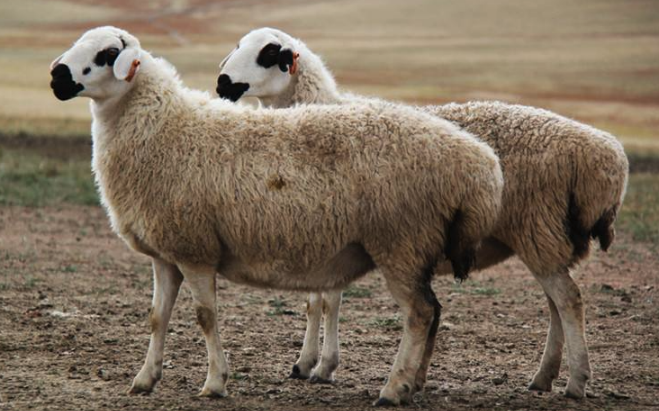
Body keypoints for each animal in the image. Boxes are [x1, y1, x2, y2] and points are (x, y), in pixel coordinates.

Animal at [51, 26, 506, 408]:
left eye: (108, 54)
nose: (56, 75)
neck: (164, 128)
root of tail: (480, 164)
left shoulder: (196, 249)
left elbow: (205, 317)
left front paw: (215, 382)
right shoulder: (166, 254)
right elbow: (156, 318)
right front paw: (145, 379)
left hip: (401, 242)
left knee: (420, 314)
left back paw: (393, 389)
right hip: (412, 246)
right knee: (432, 312)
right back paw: (412, 384)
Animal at [217, 26, 628, 400]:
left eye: (270, 53)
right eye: (237, 44)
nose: (222, 83)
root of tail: (607, 158)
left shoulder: (334, 227)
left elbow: (328, 301)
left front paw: (322, 366)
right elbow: (313, 301)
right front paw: (307, 363)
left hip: (536, 229)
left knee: (568, 300)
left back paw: (575, 383)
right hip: (545, 236)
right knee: (556, 303)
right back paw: (544, 377)